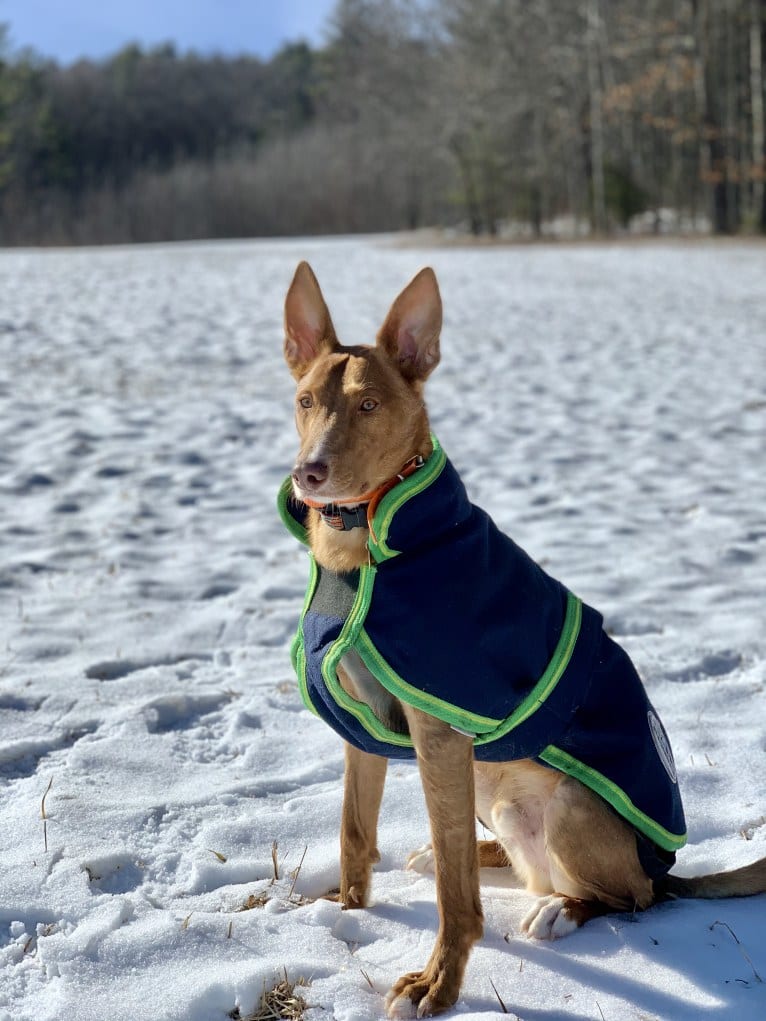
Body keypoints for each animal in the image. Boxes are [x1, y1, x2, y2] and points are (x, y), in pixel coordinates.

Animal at [279, 265, 766, 1021]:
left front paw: (438, 985)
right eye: (306, 401)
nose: (311, 472)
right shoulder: (364, 728)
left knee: (629, 896)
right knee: (507, 861)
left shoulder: (440, 733)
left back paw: (562, 910)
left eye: (368, 405)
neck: (368, 541)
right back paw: (473, 860)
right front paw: (348, 912)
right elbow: (355, 834)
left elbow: (455, 900)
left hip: (566, 807)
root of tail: (665, 867)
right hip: (496, 793)